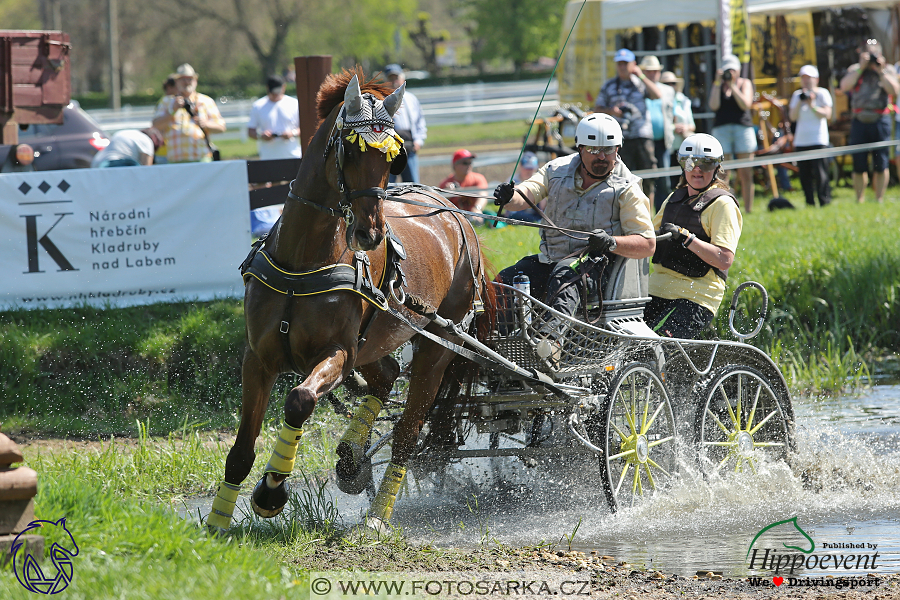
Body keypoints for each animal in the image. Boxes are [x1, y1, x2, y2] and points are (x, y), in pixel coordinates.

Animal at [208, 68, 492, 532]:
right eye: (351, 152)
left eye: (392, 158)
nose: (370, 233)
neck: (303, 260)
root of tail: (455, 214)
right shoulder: (259, 357)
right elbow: (241, 449)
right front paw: (217, 522)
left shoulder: (338, 354)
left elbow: (299, 400)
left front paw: (272, 490)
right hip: (374, 340)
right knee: (387, 374)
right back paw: (351, 459)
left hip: (437, 344)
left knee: (408, 430)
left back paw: (377, 517)